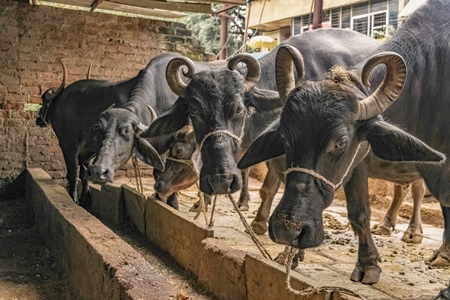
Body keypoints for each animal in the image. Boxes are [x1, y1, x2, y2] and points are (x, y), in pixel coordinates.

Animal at [239, 0, 450, 288]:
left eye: (340, 143)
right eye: (284, 136)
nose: (286, 229)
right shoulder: (356, 162)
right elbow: (355, 213)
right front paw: (290, 255)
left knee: (417, 191)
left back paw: (417, 235)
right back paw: (388, 225)